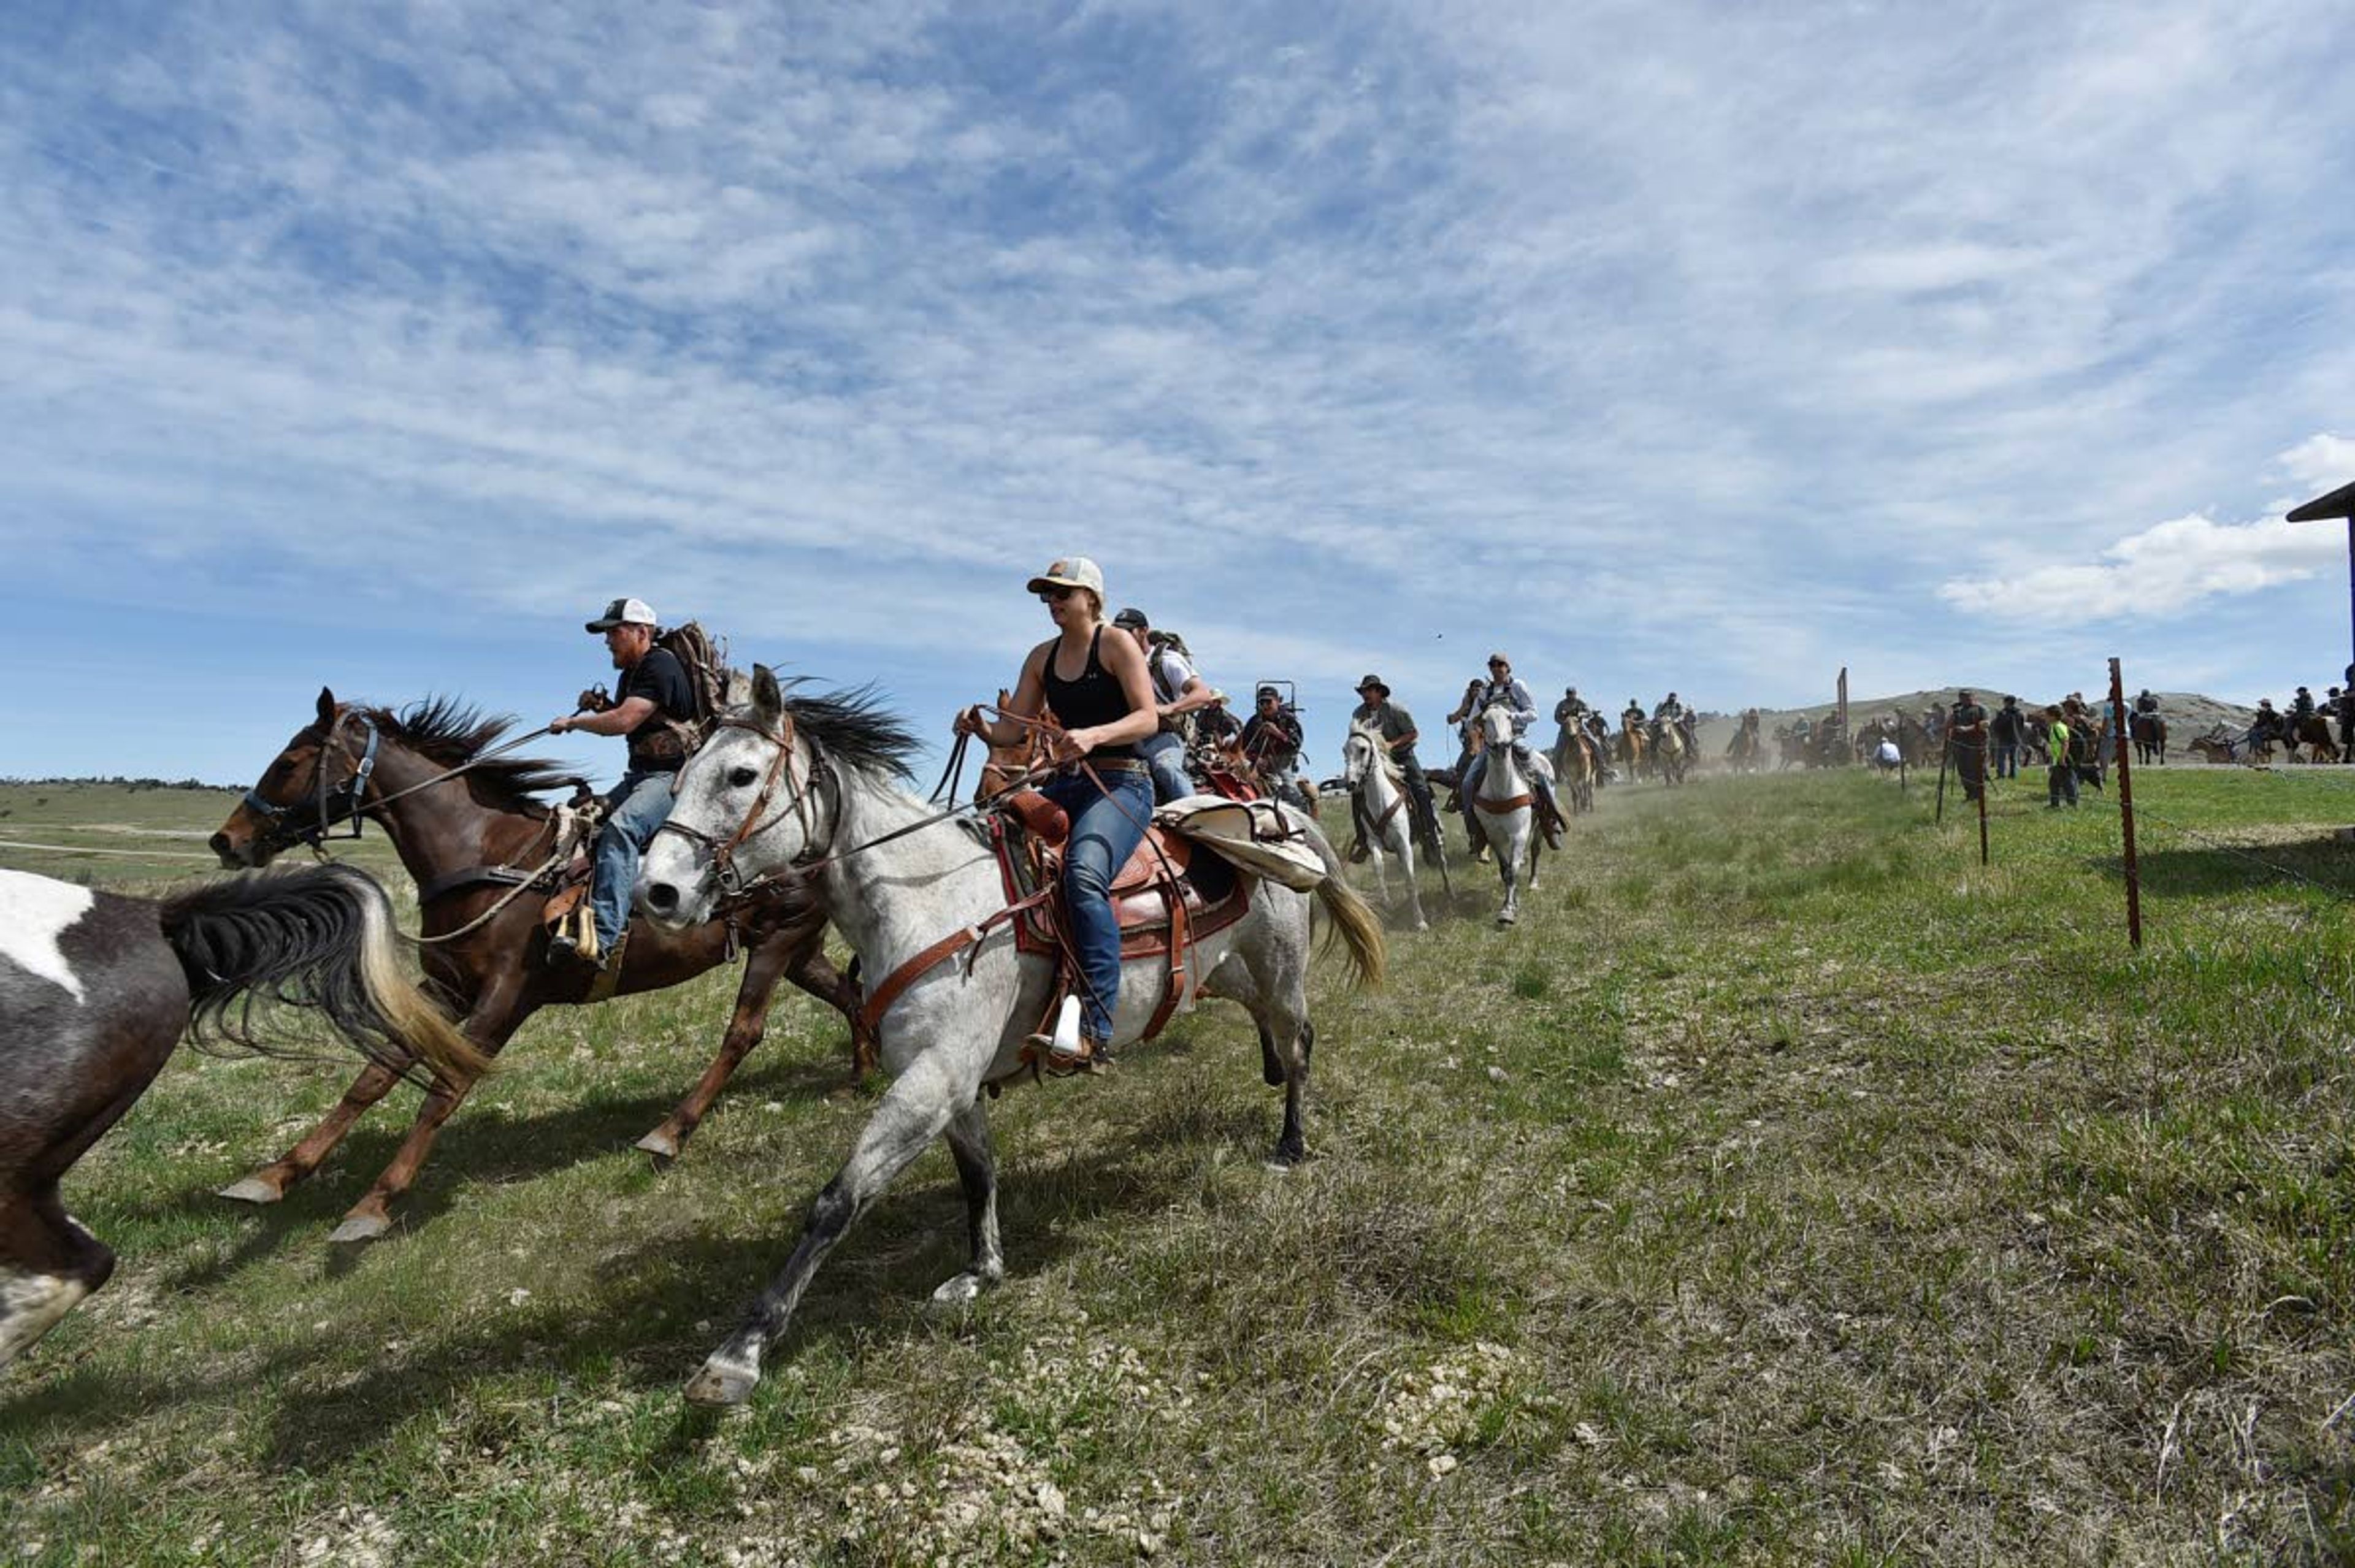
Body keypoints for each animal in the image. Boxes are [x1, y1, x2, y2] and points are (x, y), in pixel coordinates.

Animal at [209, 692, 876, 1243]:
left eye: (290, 762)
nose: (226, 841)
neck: (488, 854)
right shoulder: (448, 986)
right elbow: (376, 1074)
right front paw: (276, 1173)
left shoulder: (507, 997)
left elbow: (445, 1088)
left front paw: (373, 1204)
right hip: (798, 950)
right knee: (851, 996)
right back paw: (861, 1075)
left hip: (777, 945)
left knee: (744, 1032)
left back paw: (671, 1131)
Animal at [635, 673, 1384, 1403]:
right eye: (678, 780)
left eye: (740, 775)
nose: (658, 892)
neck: (928, 899)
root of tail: (1274, 814)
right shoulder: (950, 1081)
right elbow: (977, 1174)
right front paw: (981, 1270)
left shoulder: (932, 1079)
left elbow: (838, 1201)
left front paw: (739, 1353)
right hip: (1230, 973)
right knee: (1271, 1031)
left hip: (1281, 972)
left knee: (1300, 1042)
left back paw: (1290, 1144)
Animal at [1356, 720, 1422, 927]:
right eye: (1344, 750)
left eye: (1363, 749)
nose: (1351, 782)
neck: (1381, 801)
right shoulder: (1374, 841)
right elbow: (1378, 868)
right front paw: (1387, 903)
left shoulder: (1404, 843)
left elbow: (1411, 880)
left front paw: (1419, 920)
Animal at [1469, 697, 1545, 923]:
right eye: (1484, 720)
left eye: (1510, 717)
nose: (1501, 746)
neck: (1502, 790)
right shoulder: (1494, 836)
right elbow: (1506, 870)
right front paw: (1512, 902)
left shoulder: (1518, 834)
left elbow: (1513, 870)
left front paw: (1508, 910)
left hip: (1539, 826)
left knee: (1535, 850)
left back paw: (1533, 882)